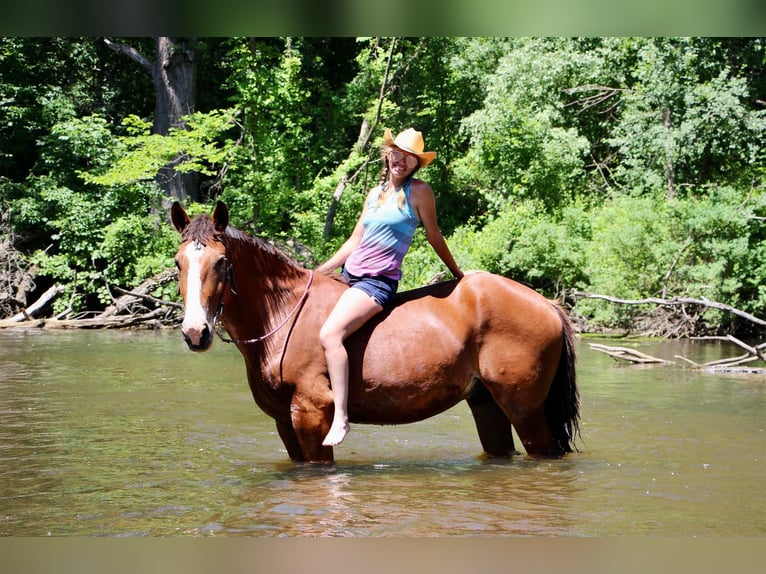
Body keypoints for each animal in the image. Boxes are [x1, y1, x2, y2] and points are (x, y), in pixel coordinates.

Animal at [172, 201, 584, 464]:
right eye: (178, 262)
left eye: (221, 262)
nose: (195, 332)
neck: (284, 317)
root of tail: (548, 304)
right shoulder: (285, 423)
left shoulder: (311, 416)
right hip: (487, 404)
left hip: (525, 409)